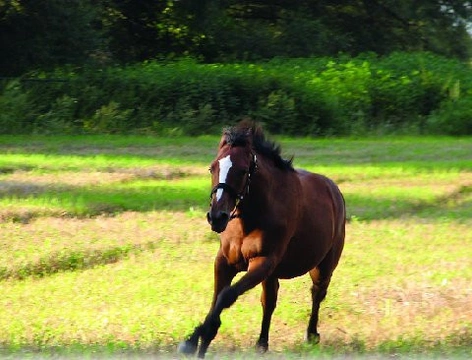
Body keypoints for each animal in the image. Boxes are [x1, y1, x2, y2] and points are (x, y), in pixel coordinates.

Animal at [179, 120, 344, 358]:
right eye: (212, 168)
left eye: (242, 170)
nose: (217, 217)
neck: (251, 216)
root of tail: (334, 190)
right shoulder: (225, 262)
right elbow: (217, 302)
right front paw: (199, 341)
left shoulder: (262, 262)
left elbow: (226, 296)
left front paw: (190, 342)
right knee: (270, 301)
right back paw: (262, 343)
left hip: (323, 266)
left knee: (317, 294)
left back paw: (312, 335)